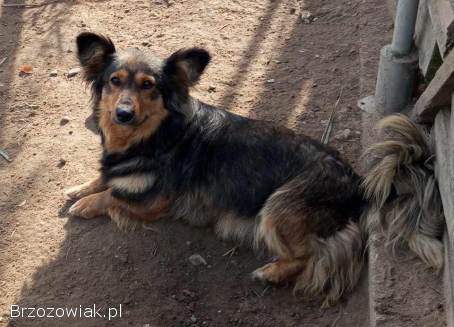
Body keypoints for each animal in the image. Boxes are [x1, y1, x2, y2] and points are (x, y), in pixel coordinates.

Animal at [65, 32, 446, 306]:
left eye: (148, 85)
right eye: (114, 81)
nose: (123, 114)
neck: (154, 135)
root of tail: (358, 185)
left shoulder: (155, 201)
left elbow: (113, 196)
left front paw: (84, 204)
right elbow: (103, 178)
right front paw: (79, 188)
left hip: (279, 204)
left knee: (308, 256)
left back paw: (271, 273)